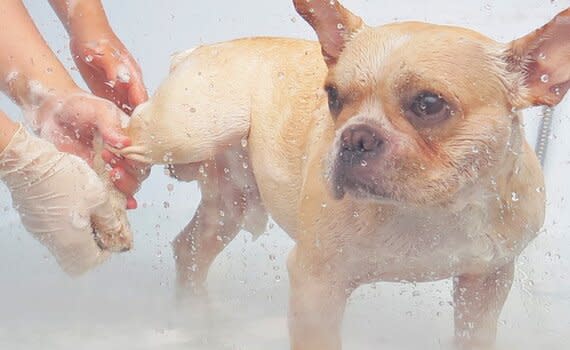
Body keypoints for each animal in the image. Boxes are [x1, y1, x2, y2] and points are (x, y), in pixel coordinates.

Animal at [108, 1, 564, 348]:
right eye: (333, 97)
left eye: (429, 104)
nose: (355, 137)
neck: (432, 209)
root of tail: (199, 50)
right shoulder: (317, 283)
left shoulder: (485, 282)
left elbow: (473, 335)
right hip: (185, 132)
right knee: (126, 140)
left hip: (232, 202)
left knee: (190, 250)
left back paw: (194, 319)